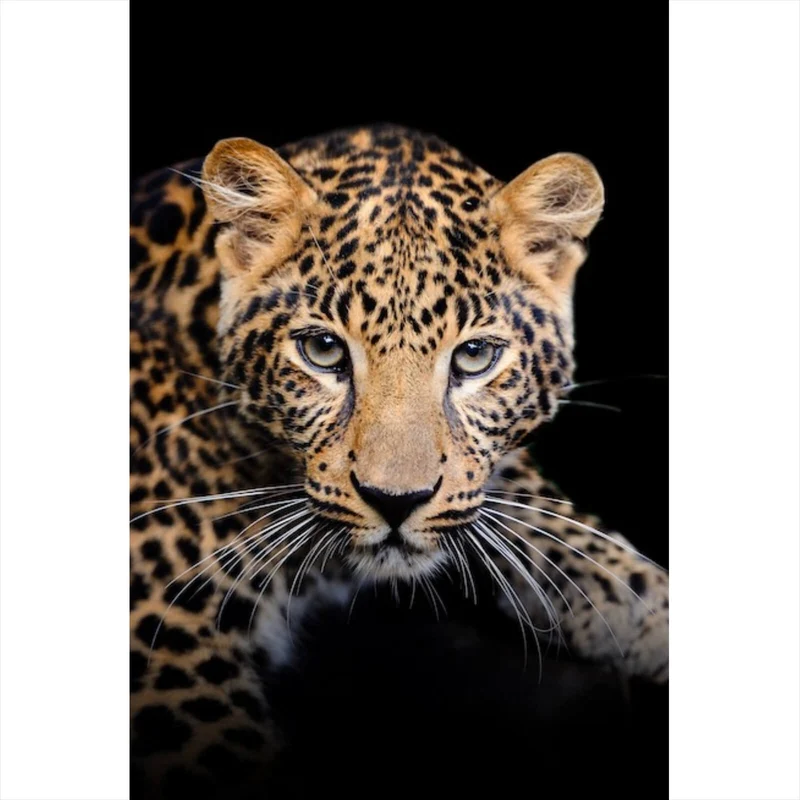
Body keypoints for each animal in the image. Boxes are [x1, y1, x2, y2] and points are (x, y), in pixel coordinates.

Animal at [130, 124, 668, 798]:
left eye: (474, 357)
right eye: (322, 349)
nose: (395, 502)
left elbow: (546, 515)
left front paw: (653, 609)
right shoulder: (170, 647)